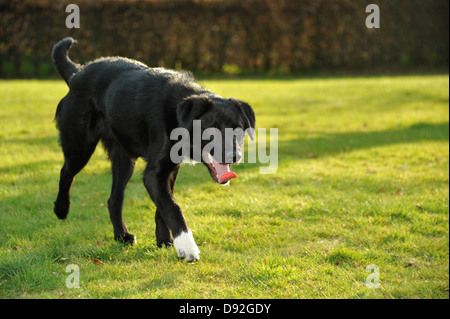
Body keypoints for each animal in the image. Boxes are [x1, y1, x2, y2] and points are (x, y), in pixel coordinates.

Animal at [51, 38, 255, 262]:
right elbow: (172, 207)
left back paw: (122, 236)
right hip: (79, 146)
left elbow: (163, 206)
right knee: (66, 172)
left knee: (114, 199)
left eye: (239, 130)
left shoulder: (170, 170)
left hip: (124, 161)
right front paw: (187, 246)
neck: (178, 112)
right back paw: (61, 208)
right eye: (211, 130)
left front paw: (165, 241)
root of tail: (77, 73)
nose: (234, 156)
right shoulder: (154, 174)